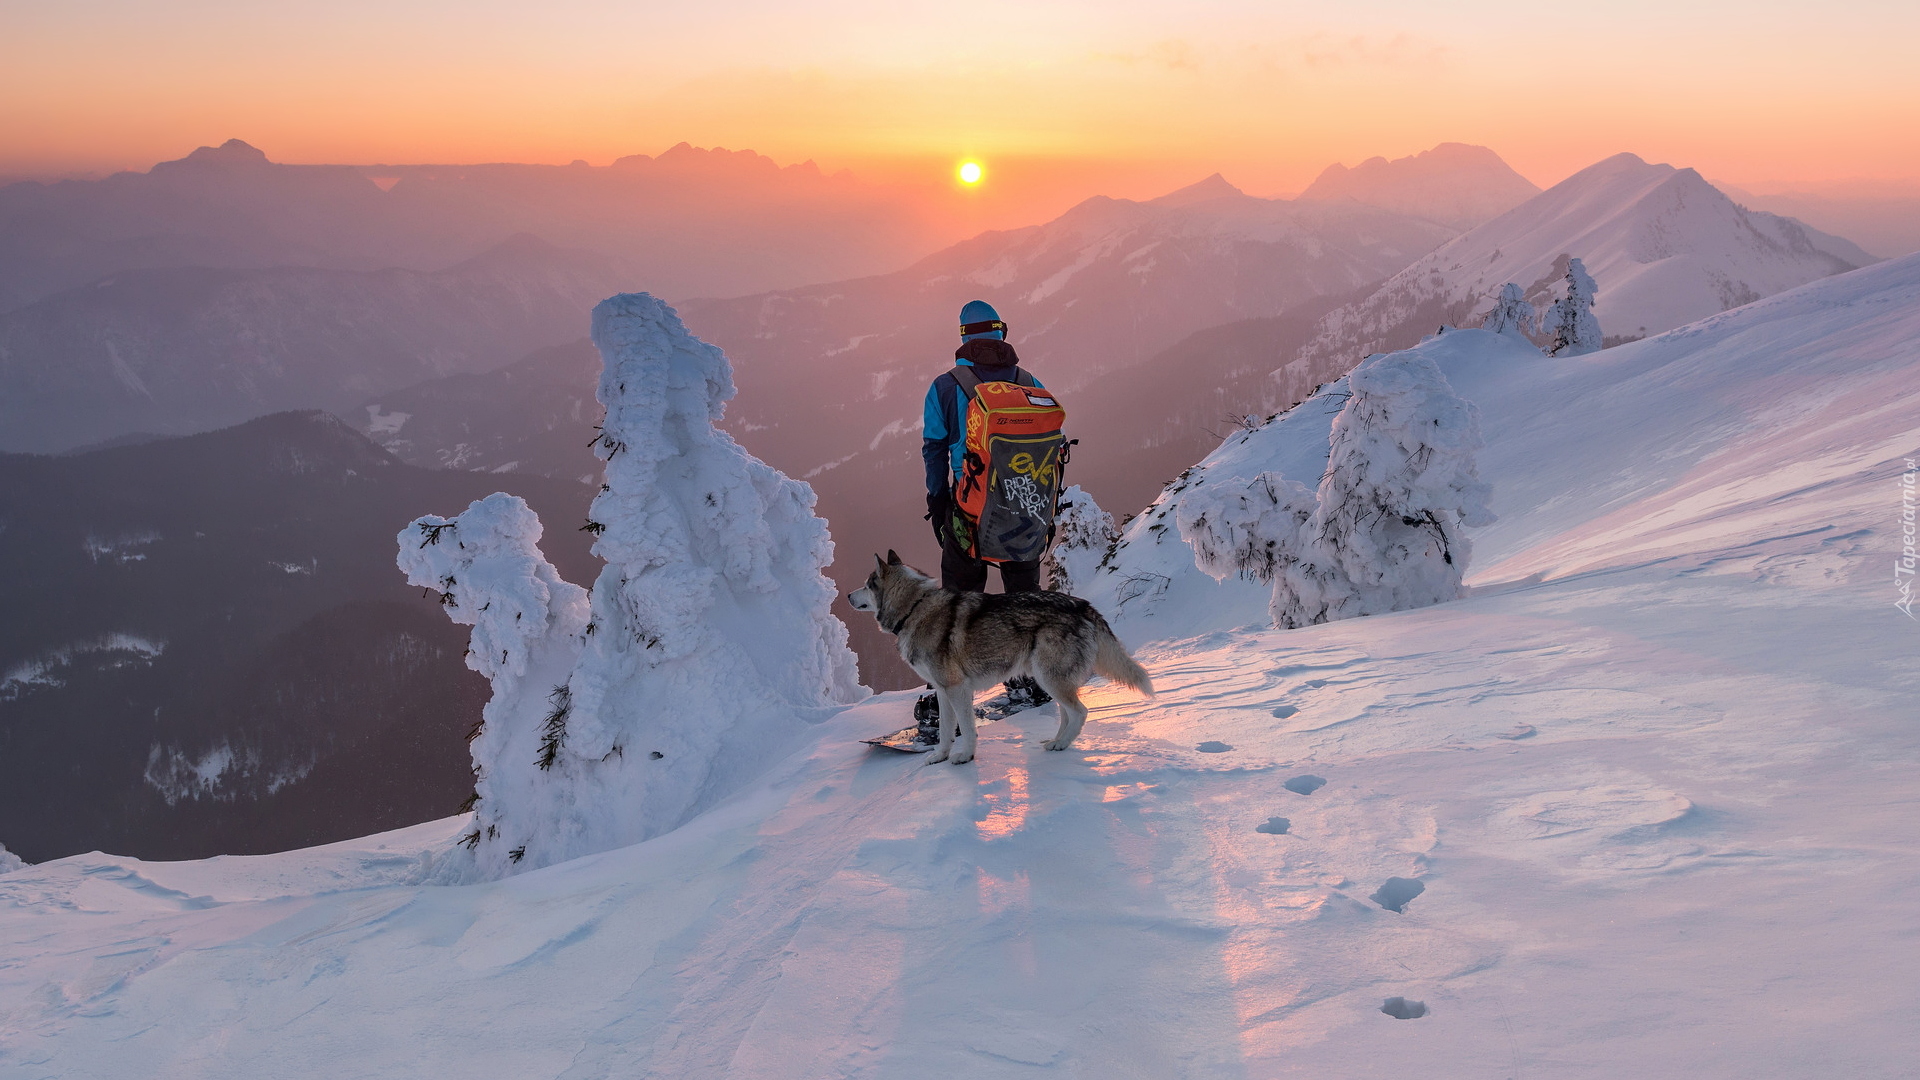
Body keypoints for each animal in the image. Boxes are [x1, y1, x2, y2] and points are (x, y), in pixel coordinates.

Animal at [844, 549, 1144, 760]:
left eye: (866, 585)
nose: (847, 595)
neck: (914, 608)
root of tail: (1083, 605)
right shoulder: (943, 690)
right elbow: (945, 731)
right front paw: (940, 757)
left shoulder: (957, 689)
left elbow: (967, 728)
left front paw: (965, 757)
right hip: (1050, 678)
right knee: (1065, 712)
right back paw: (1053, 741)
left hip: (1050, 677)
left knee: (1080, 712)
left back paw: (1062, 744)